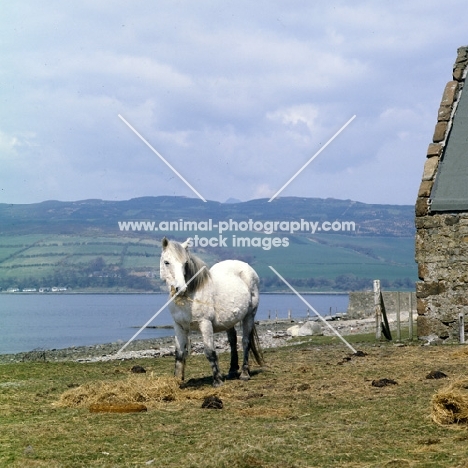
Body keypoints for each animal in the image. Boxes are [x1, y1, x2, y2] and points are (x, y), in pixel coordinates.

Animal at [160, 238, 264, 388]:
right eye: (166, 262)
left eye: (185, 263)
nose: (181, 289)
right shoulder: (179, 326)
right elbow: (179, 353)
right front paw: (177, 381)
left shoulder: (205, 324)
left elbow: (210, 351)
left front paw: (217, 381)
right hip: (229, 321)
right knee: (233, 340)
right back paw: (232, 370)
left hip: (249, 315)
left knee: (245, 341)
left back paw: (244, 373)